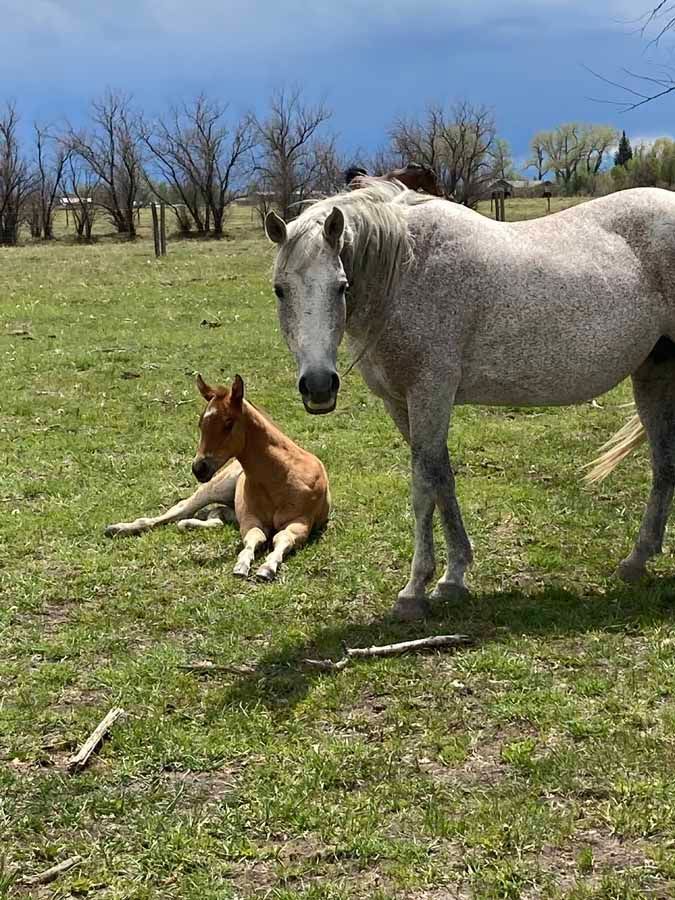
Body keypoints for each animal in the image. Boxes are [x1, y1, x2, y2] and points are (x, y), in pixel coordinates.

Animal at [105, 375, 331, 581]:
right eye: (200, 423)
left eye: (228, 423)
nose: (199, 468)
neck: (280, 476)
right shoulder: (250, 517)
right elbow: (254, 537)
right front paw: (242, 565)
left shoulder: (300, 522)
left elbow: (282, 539)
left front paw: (266, 569)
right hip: (216, 487)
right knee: (179, 510)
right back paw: (118, 528)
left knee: (215, 515)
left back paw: (187, 524)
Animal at [264, 180, 675, 620]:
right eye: (280, 290)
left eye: (341, 286)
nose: (319, 386)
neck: (406, 271)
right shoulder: (402, 403)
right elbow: (442, 480)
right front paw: (453, 577)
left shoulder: (431, 393)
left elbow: (423, 489)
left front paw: (414, 590)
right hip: (652, 373)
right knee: (663, 466)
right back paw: (636, 561)